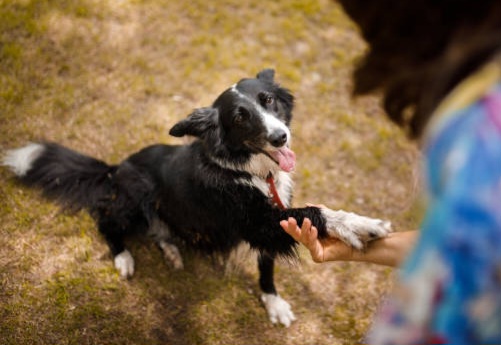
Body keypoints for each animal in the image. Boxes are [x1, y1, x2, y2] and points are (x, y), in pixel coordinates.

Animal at [2, 69, 390, 326]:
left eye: (268, 101)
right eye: (240, 118)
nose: (281, 137)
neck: (249, 171)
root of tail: (116, 167)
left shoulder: (270, 221)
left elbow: (267, 268)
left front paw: (273, 303)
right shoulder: (259, 222)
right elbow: (315, 211)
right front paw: (360, 225)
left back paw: (171, 249)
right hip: (137, 198)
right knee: (106, 220)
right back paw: (124, 257)